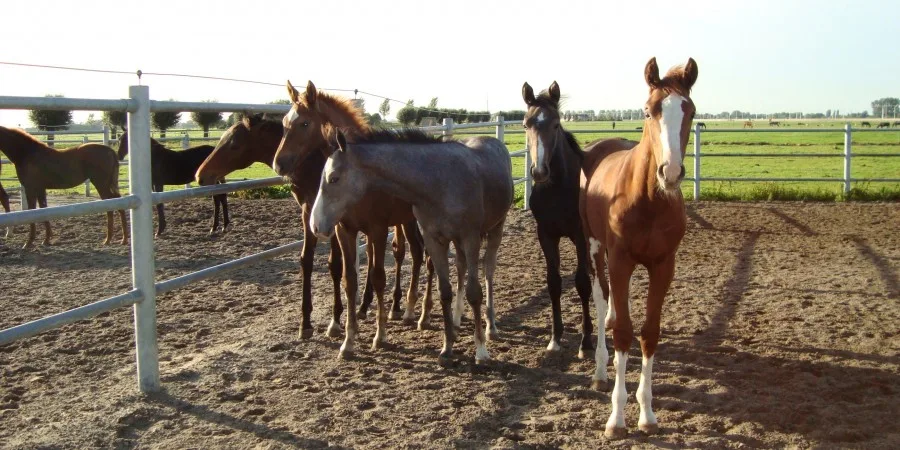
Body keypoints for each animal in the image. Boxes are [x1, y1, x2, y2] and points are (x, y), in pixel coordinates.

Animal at [0, 126, 128, 248]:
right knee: (119, 203)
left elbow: (32, 211)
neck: (27, 153)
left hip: (101, 184)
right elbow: (43, 209)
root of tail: (110, 151)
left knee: (110, 206)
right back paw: (123, 240)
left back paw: (108, 240)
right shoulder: (40, 189)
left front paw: (28, 243)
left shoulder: (30, 188)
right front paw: (46, 240)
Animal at [309, 128, 513, 364]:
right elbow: (445, 291)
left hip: (495, 228)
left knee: (488, 272)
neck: (439, 181)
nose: (315, 225)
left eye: (334, 178)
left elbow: (474, 292)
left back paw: (491, 327)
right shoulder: (435, 240)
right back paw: (456, 320)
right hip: (457, 242)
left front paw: (481, 351)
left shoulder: (470, 238)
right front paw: (447, 349)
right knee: (461, 268)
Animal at [521, 81, 629, 356]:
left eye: (556, 124)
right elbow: (554, 282)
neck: (560, 187)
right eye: (526, 124)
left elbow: (582, 283)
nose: (539, 171)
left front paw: (586, 340)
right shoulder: (546, 234)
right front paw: (555, 338)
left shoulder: (581, 236)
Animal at [580, 57, 697, 438]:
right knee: (602, 301)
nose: (670, 172)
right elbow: (623, 334)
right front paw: (616, 419)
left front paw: (647, 413)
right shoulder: (619, 261)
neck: (648, 199)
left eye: (690, 110)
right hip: (594, 248)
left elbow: (648, 333)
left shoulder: (663, 265)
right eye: (649, 110)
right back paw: (600, 372)